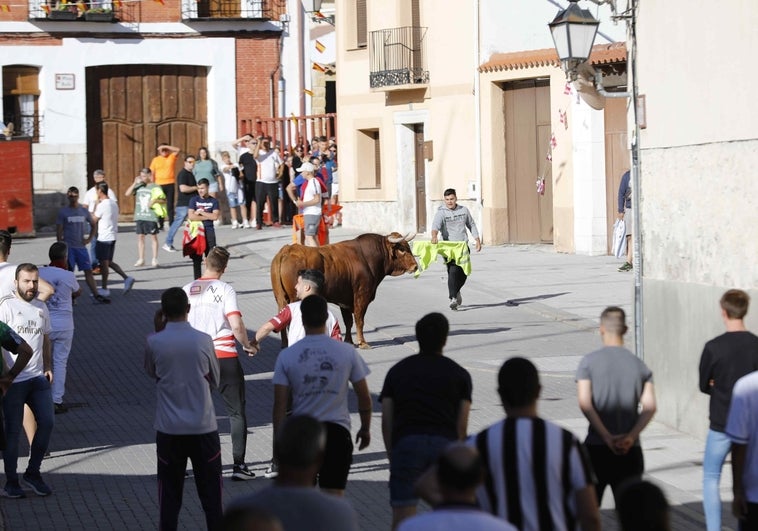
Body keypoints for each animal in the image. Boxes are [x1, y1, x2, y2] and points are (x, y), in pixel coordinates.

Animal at [270, 232, 418, 350]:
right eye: (402, 249)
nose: (415, 266)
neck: (368, 258)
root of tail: (287, 250)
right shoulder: (362, 296)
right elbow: (359, 319)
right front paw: (362, 343)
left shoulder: (344, 300)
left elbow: (348, 321)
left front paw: (349, 341)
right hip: (295, 298)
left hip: (280, 298)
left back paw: (284, 344)